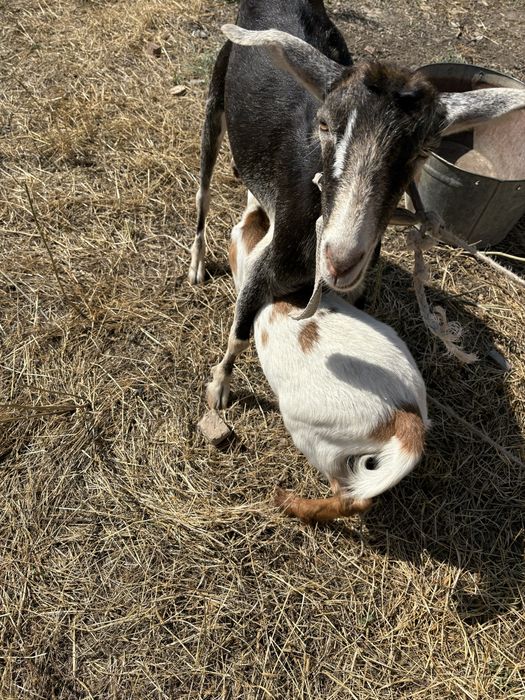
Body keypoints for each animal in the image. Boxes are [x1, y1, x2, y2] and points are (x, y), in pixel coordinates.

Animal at [190, 0, 525, 411]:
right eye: (323, 124)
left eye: (423, 151)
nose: (340, 259)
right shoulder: (265, 267)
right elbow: (239, 333)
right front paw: (219, 388)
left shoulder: (354, 290)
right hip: (215, 101)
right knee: (203, 192)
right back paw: (197, 264)